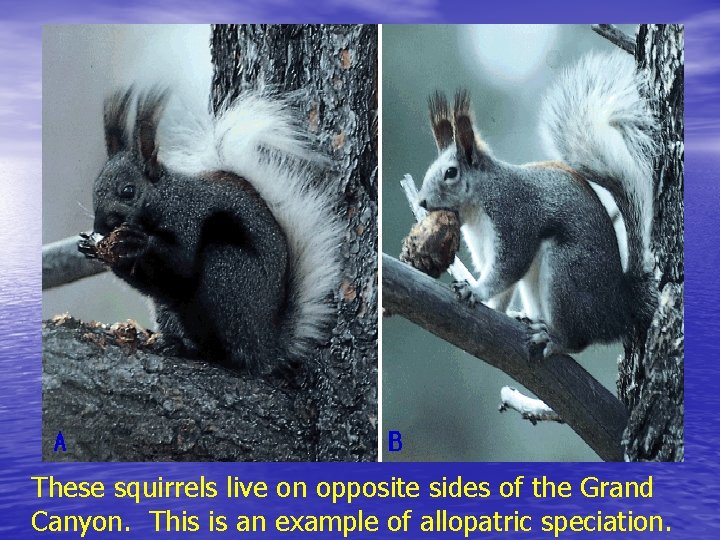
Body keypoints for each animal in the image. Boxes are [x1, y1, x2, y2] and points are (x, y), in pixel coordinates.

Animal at [78, 86, 342, 372]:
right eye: (95, 190)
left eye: (128, 191)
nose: (99, 226)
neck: (166, 200)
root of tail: (266, 347)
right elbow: (153, 282)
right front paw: (90, 246)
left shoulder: (188, 219)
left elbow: (181, 265)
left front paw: (137, 242)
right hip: (172, 309)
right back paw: (174, 344)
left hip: (225, 272)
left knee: (228, 352)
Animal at [416, 51, 658, 360]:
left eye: (450, 173)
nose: (422, 202)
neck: (477, 207)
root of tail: (619, 311)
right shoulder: (483, 246)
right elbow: (502, 287)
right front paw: (494, 308)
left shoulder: (514, 217)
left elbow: (508, 269)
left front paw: (477, 292)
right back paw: (529, 319)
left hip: (566, 274)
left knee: (578, 340)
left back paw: (554, 338)